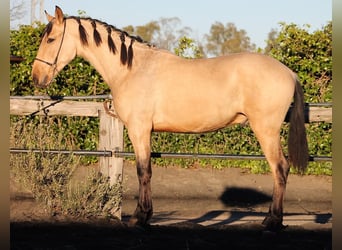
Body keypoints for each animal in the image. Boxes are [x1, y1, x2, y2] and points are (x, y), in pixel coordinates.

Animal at [32, 5, 308, 231]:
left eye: (52, 39)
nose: (36, 77)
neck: (132, 69)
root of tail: (289, 72)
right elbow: (146, 170)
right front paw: (144, 215)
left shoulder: (139, 129)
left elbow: (143, 171)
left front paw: (140, 217)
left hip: (266, 130)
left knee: (280, 168)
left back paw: (272, 221)